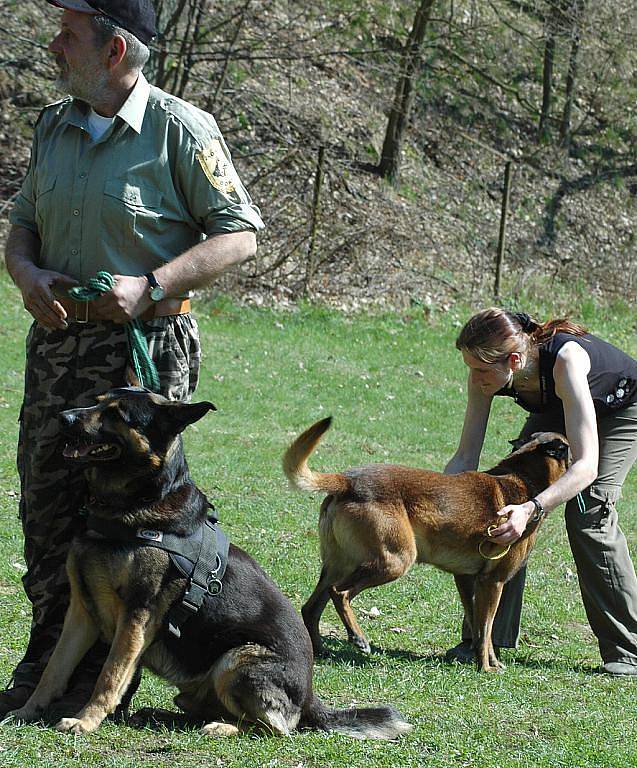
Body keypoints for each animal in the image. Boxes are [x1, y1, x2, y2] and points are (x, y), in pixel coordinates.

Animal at [9, 390, 410, 736]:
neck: (131, 508)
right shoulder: (81, 611)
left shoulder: (137, 614)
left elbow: (109, 675)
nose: (63, 418)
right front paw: (27, 710)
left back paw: (223, 727)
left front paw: (85, 720)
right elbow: (54, 670)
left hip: (237, 660)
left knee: (276, 728)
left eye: (117, 414)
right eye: (97, 401)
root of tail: (310, 697)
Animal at [284, 420, 568, 672]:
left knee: (311, 608)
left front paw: (487, 661)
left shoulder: (467, 580)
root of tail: (347, 481)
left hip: (339, 564)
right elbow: (486, 628)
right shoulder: (492, 582)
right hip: (394, 561)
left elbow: (477, 627)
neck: (521, 477)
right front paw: (487, 668)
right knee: (339, 593)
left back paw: (320, 650)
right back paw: (358, 638)